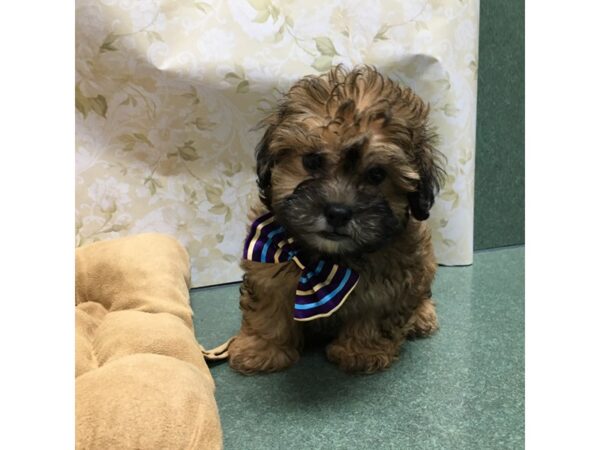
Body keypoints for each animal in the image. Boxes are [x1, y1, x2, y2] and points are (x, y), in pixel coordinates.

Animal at [230, 65, 446, 374]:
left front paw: (361, 351)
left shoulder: (392, 279)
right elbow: (267, 310)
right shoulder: (267, 267)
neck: (327, 261)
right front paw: (261, 349)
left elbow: (374, 311)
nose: (338, 212)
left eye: (377, 175)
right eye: (312, 161)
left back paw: (422, 316)